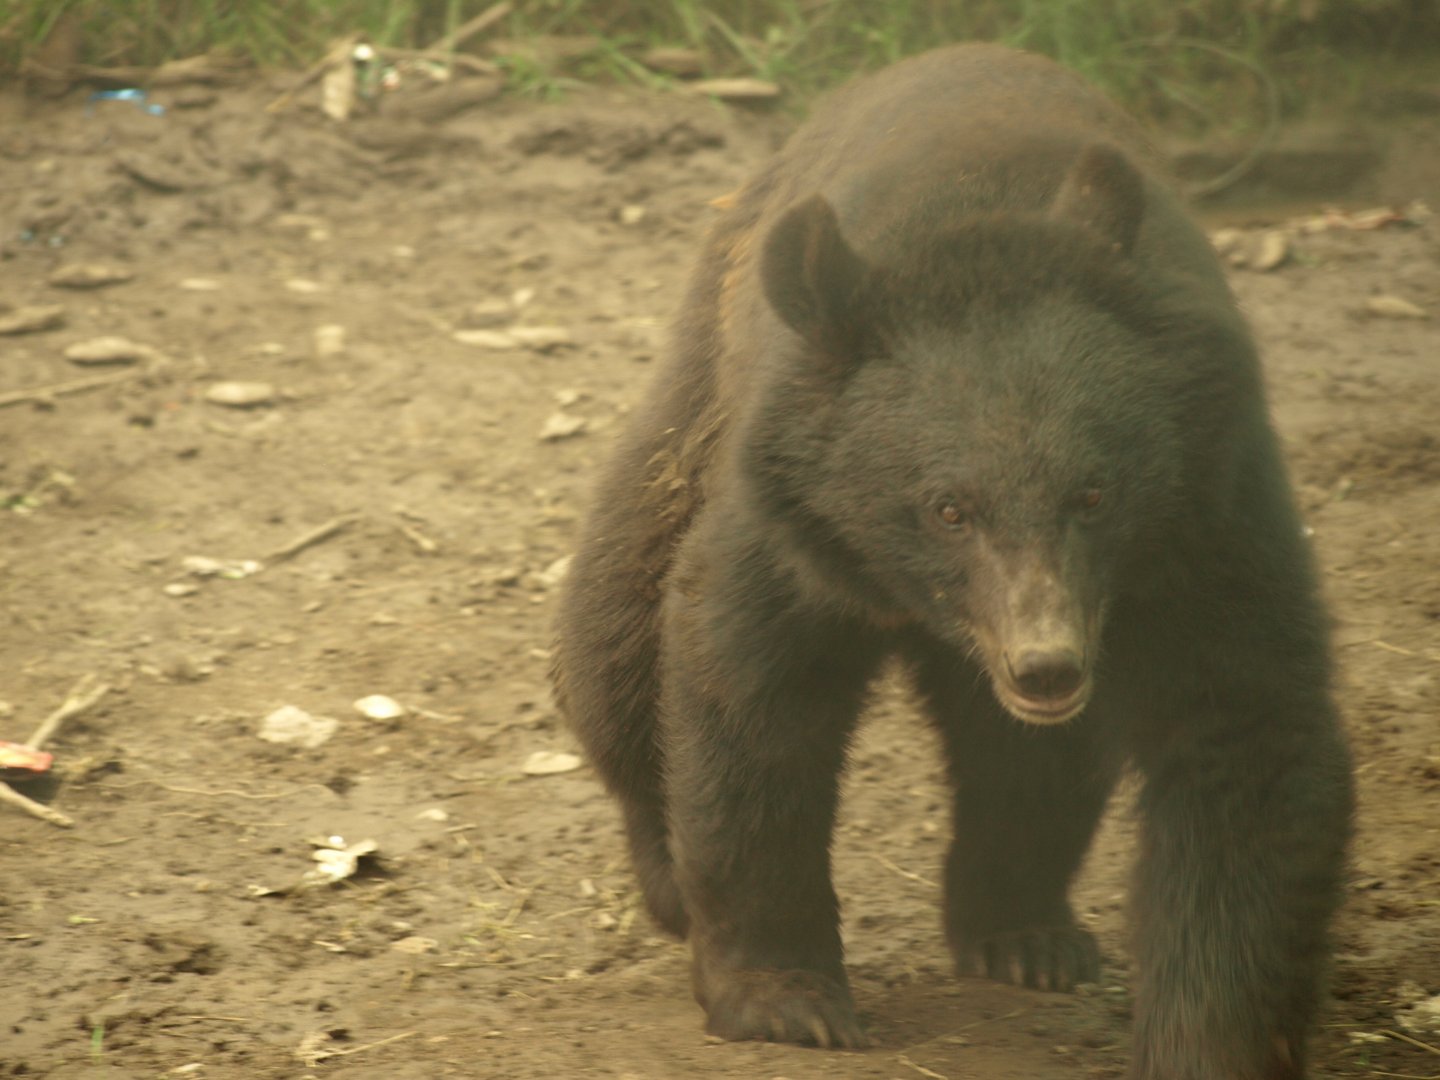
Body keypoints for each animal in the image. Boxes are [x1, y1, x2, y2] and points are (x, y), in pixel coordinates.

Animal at [552, 43, 1354, 1080]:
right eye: (947, 508)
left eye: (1094, 496)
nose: (1048, 665)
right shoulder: (792, 518)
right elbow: (748, 694)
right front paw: (785, 1000)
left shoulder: (1203, 516)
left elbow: (1244, 733)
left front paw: (1204, 1042)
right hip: (691, 412)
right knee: (616, 618)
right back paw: (667, 881)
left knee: (1027, 763)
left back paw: (1025, 934)